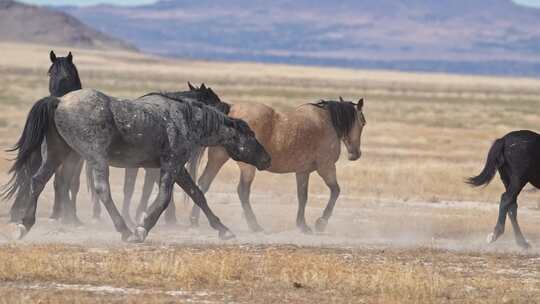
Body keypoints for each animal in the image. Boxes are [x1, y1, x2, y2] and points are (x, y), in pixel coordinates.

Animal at [2, 88, 272, 242]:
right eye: (251, 134)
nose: (267, 159)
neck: (184, 119)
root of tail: (59, 101)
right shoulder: (170, 165)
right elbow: (164, 198)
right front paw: (142, 227)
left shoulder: (178, 169)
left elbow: (198, 195)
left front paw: (223, 229)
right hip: (95, 158)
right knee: (102, 190)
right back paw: (125, 230)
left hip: (58, 154)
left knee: (37, 181)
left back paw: (23, 225)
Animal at [5, 50, 83, 224]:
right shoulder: (77, 159)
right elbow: (70, 184)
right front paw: (68, 215)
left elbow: (59, 183)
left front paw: (58, 213)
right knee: (54, 181)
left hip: (36, 156)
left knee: (27, 178)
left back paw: (17, 213)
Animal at [191, 97, 368, 233]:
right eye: (363, 122)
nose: (356, 154)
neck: (327, 122)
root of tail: (230, 111)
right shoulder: (326, 168)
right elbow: (335, 192)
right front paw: (321, 223)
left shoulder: (302, 172)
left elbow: (302, 197)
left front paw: (303, 225)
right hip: (247, 167)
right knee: (242, 191)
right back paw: (255, 226)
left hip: (217, 159)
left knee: (202, 184)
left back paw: (194, 220)